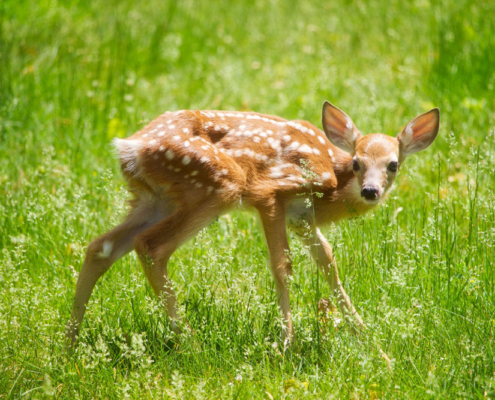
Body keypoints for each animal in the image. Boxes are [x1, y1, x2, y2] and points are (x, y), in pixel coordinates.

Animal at [67, 102, 442, 346]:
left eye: (393, 164)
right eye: (357, 163)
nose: (370, 191)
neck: (331, 182)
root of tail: (129, 147)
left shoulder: (301, 216)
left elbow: (328, 261)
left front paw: (369, 340)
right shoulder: (271, 194)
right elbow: (282, 265)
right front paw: (287, 344)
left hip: (157, 198)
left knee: (101, 247)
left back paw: (70, 342)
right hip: (217, 183)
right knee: (151, 246)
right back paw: (191, 343)